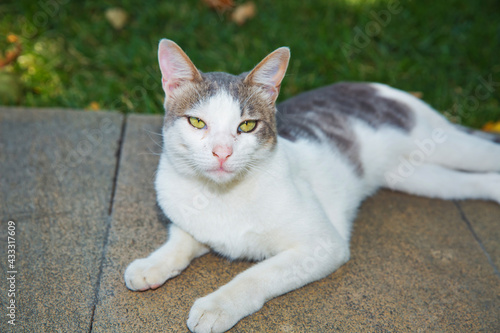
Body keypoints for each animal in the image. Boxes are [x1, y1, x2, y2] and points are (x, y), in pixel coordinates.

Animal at [124, 37, 500, 330]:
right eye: (197, 122)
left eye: (246, 126)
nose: (222, 152)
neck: (221, 196)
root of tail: (372, 84)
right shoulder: (190, 221)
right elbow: (180, 240)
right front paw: (151, 264)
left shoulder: (323, 245)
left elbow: (257, 274)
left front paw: (218, 306)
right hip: (420, 177)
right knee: (471, 183)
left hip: (448, 145)